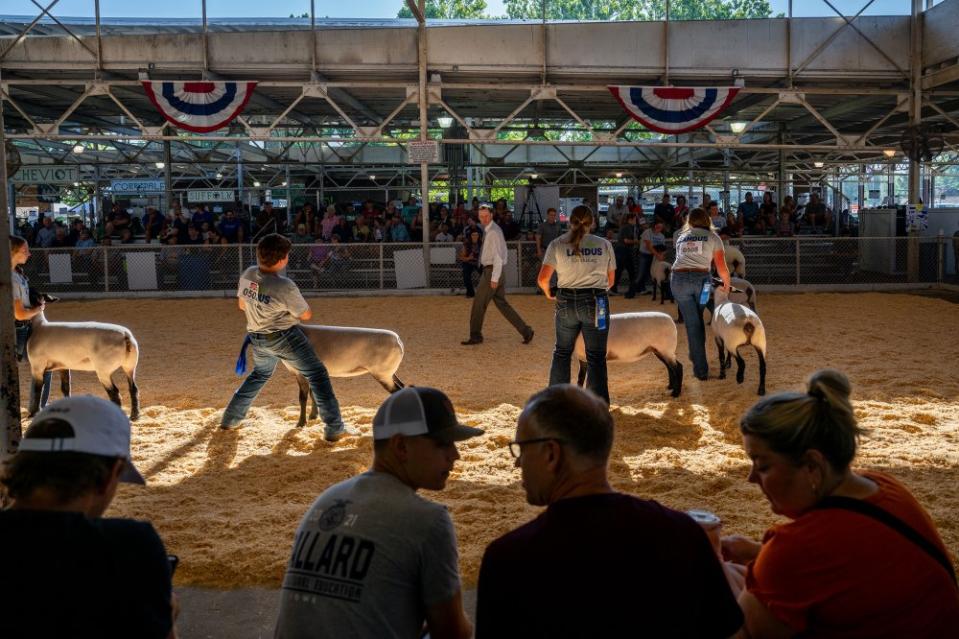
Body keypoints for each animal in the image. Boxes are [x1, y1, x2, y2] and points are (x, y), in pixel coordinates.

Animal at [240, 328, 408, 428]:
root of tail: (399, 341)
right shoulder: (311, 372)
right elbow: (313, 394)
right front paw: (314, 416)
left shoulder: (301, 373)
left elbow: (303, 398)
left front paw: (301, 423)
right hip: (390, 373)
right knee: (403, 387)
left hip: (382, 373)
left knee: (397, 391)